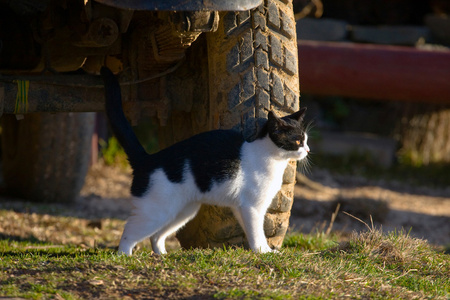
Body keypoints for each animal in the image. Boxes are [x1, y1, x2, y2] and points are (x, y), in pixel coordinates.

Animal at [100, 67, 308, 254]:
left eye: (305, 139)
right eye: (298, 141)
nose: (307, 150)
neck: (268, 157)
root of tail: (147, 159)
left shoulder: (241, 208)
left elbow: (251, 231)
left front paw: (264, 250)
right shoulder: (252, 207)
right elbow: (257, 233)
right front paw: (263, 252)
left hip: (182, 211)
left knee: (156, 236)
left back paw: (163, 256)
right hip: (155, 212)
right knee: (129, 233)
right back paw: (125, 256)